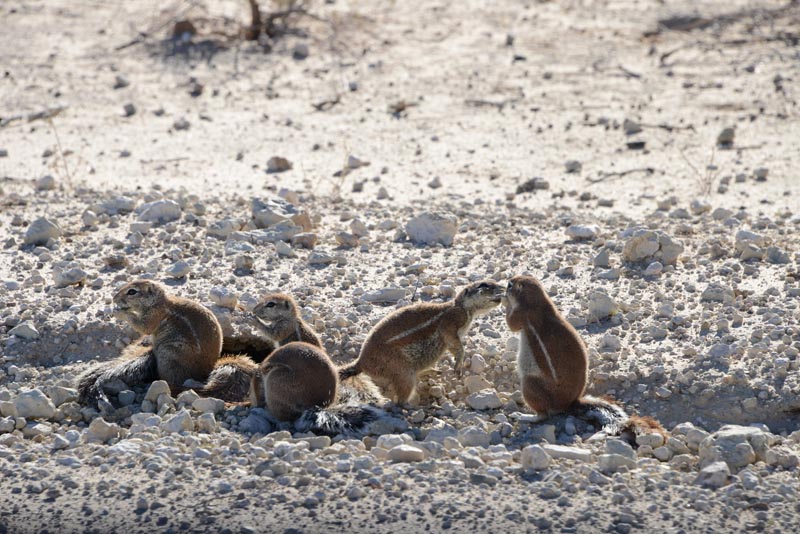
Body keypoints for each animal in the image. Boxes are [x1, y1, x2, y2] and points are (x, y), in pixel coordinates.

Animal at [77, 280, 225, 410]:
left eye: (132, 292)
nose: (114, 298)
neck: (158, 302)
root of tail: (205, 372)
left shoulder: (154, 316)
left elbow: (144, 327)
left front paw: (119, 312)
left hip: (169, 354)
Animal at [340, 282, 504, 404]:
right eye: (483, 285)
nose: (503, 288)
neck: (462, 307)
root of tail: (361, 363)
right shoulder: (451, 321)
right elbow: (454, 342)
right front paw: (459, 364)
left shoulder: (452, 337)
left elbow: (454, 346)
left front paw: (457, 362)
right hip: (402, 371)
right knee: (400, 397)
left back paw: (431, 372)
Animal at [500, 278, 664, 438]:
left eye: (510, 284)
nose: (505, 285)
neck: (538, 302)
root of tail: (569, 403)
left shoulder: (521, 314)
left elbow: (511, 324)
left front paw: (504, 300)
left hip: (530, 384)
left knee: (543, 415)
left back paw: (524, 416)